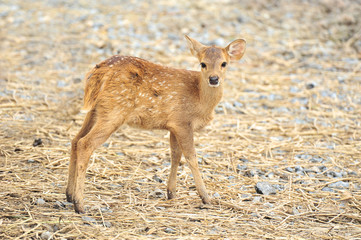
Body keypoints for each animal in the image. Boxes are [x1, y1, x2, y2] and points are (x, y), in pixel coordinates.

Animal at [65, 34, 245, 213]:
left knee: (75, 140)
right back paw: (80, 204)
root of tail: (99, 71)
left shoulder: (173, 125)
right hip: (114, 112)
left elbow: (175, 156)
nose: (213, 79)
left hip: (95, 110)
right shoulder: (183, 122)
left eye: (224, 63)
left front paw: (171, 193)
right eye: (203, 64)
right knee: (85, 143)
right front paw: (206, 198)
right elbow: (191, 157)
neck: (199, 97)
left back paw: (69, 195)